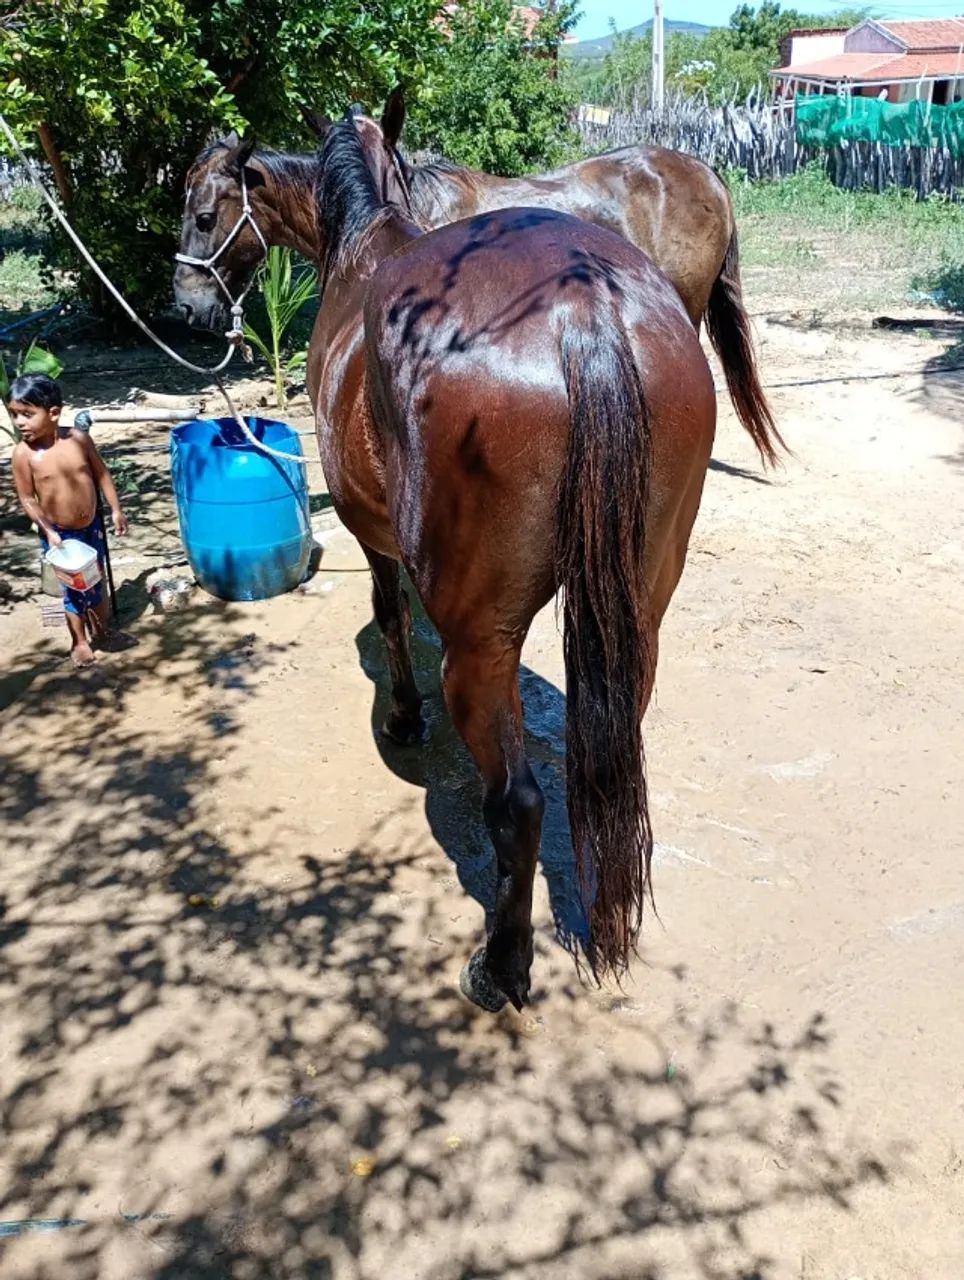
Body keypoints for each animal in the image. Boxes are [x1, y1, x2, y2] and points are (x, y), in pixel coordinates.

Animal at [174, 111, 723, 1013]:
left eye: (202, 211)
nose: (186, 307)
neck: (367, 234)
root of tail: (583, 308)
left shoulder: (369, 530)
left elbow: (389, 612)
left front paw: (403, 715)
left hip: (480, 644)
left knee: (520, 803)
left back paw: (500, 966)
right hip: (635, 614)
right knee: (614, 755)